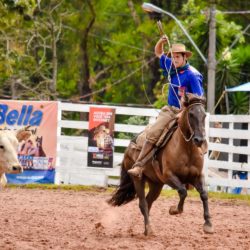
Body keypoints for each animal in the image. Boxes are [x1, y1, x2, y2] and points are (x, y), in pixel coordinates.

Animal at [107, 94, 213, 236]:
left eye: (204, 116)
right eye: (191, 114)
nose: (199, 140)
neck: (186, 149)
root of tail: (129, 146)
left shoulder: (196, 176)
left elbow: (204, 194)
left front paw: (208, 224)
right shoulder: (169, 176)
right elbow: (183, 191)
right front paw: (174, 210)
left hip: (156, 184)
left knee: (148, 202)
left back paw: (146, 228)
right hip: (138, 180)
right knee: (143, 203)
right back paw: (149, 229)